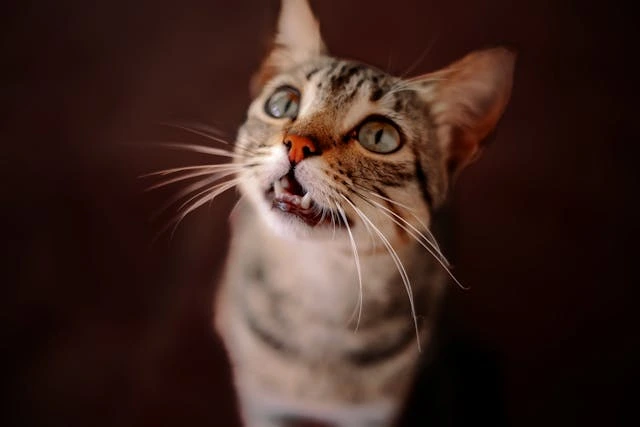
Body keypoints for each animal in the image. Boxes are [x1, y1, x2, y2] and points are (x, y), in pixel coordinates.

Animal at [185, 0, 516, 427]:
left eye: (380, 136)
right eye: (284, 103)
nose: (297, 144)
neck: (318, 290)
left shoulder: (373, 412)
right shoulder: (264, 402)